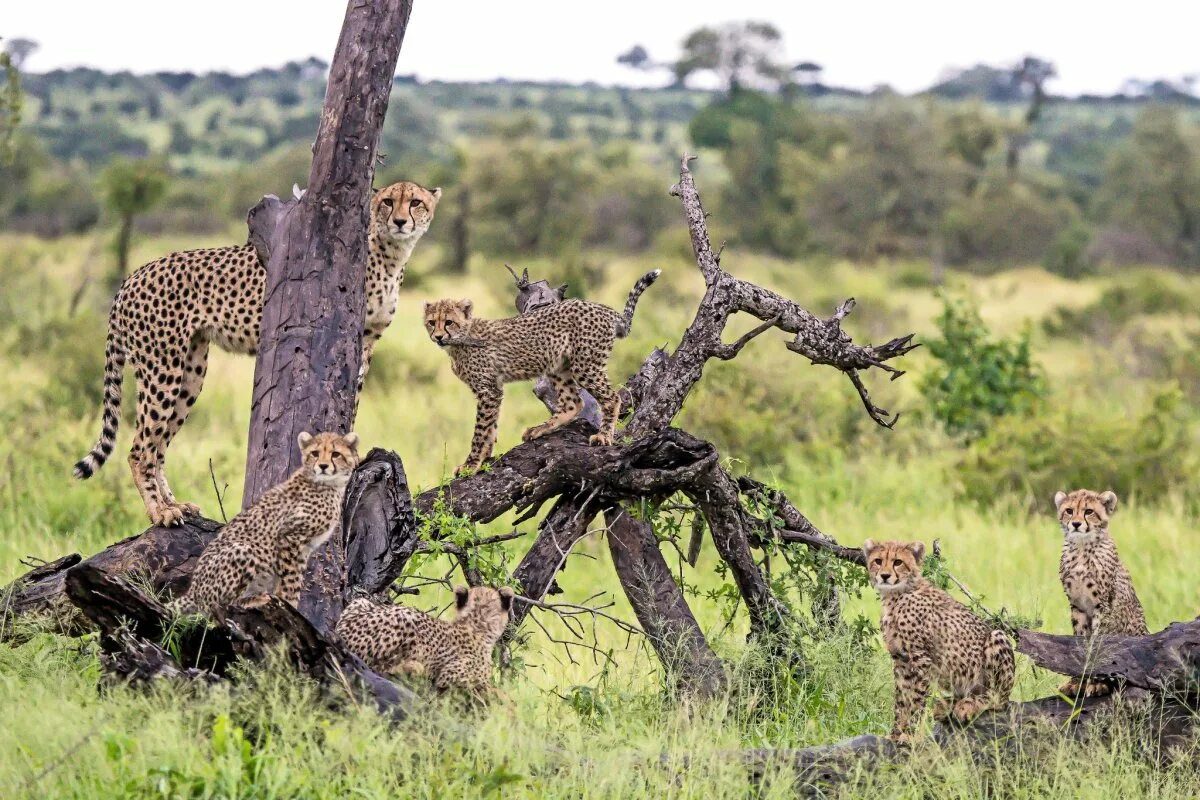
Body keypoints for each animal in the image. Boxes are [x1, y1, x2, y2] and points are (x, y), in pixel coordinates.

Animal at [174, 431, 357, 618]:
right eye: (315, 453)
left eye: (336, 454)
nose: (323, 466)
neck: (328, 485)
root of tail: (193, 591)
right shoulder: (290, 538)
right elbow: (291, 580)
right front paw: (290, 606)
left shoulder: (304, 548)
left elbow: (293, 578)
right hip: (243, 549)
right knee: (220, 607)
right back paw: (254, 600)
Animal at [333, 582, 516, 695]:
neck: (476, 625)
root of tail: (343, 635)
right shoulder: (451, 677)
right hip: (406, 621)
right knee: (381, 668)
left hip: (360, 603)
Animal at [424, 267, 667, 474]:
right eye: (431, 322)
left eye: (448, 322)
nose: (438, 337)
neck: (459, 341)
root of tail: (602, 308)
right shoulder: (492, 389)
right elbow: (491, 427)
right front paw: (484, 459)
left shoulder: (488, 390)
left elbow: (481, 430)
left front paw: (471, 464)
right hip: (558, 365)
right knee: (573, 402)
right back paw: (540, 429)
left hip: (585, 364)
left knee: (611, 397)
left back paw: (604, 436)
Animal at [864, 542, 1012, 743]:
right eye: (878, 561)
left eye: (898, 562)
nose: (885, 576)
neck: (896, 595)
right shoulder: (901, 659)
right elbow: (901, 700)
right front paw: (895, 733)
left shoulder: (921, 659)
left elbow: (915, 700)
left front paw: (909, 734)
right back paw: (947, 706)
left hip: (996, 636)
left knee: (997, 699)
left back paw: (968, 705)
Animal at [1056, 489, 1147, 695]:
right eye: (1069, 511)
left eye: (1088, 511)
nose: (1076, 524)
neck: (1082, 548)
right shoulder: (1077, 606)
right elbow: (1080, 644)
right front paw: (1076, 682)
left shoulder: (1103, 606)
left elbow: (1098, 646)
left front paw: (1097, 682)